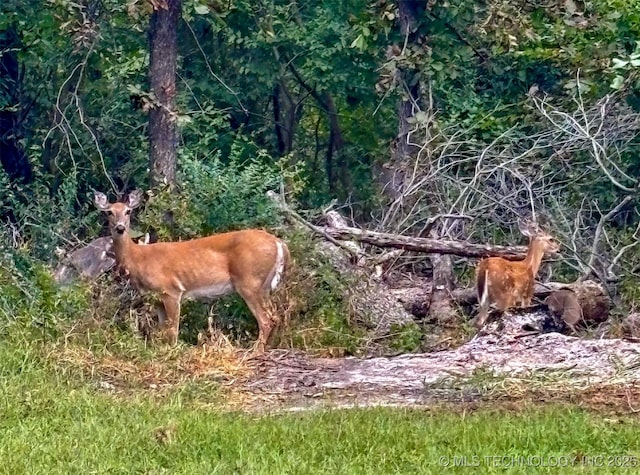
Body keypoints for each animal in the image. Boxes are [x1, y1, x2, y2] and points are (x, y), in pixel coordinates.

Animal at [93, 191, 290, 354]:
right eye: (109, 212)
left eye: (128, 211)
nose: (120, 228)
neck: (139, 258)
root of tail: (279, 243)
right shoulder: (157, 298)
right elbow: (163, 330)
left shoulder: (171, 290)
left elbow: (173, 330)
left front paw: (172, 352)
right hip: (264, 285)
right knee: (275, 316)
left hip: (249, 281)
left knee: (266, 319)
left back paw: (255, 351)